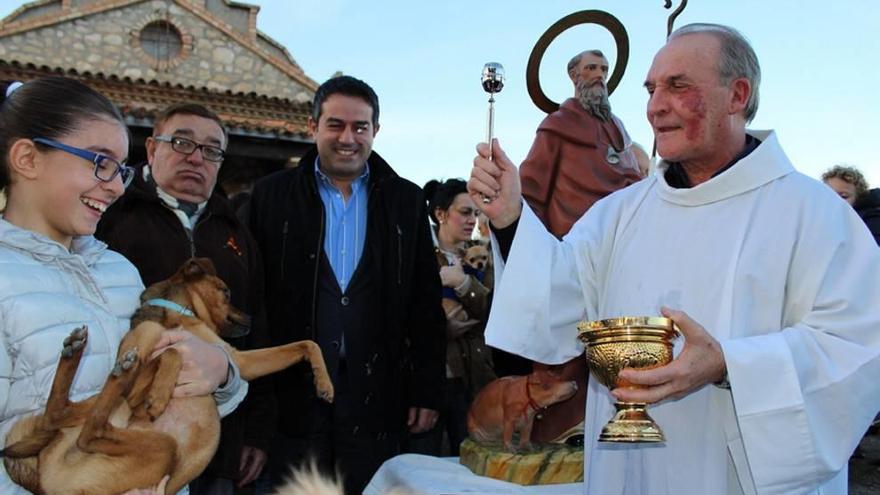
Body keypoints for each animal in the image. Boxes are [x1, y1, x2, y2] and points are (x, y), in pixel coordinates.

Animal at [0, 260, 336, 495]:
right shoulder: (160, 358)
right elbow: (171, 354)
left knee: (59, 414)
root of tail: (42, 484)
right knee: (89, 430)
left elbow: (307, 344)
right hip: (161, 446)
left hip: (101, 418)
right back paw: (116, 370)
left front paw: (324, 382)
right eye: (226, 292)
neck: (177, 312)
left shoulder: (239, 361)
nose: (252, 318)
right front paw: (159, 395)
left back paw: (76, 351)